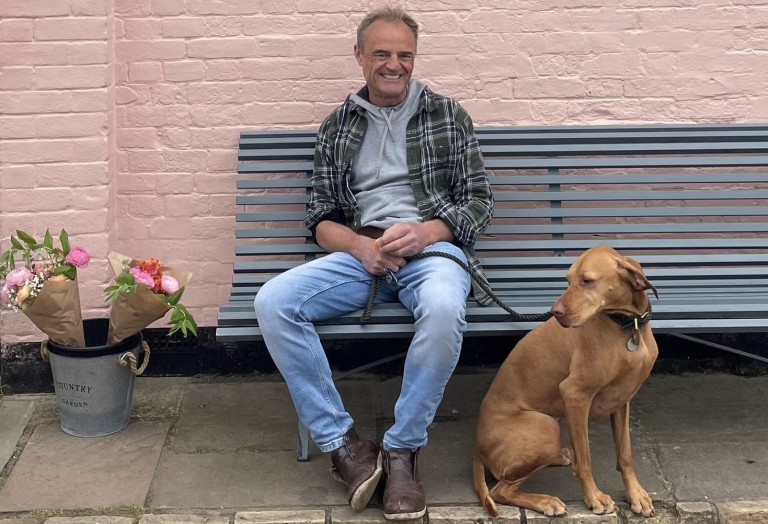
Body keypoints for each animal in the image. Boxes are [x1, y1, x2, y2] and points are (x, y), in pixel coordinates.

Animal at [473, 245, 658, 518]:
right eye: (568, 280)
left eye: (587, 281)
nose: (556, 312)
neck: (627, 325)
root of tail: (477, 447)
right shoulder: (575, 394)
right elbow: (586, 458)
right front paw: (594, 498)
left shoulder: (622, 400)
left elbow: (625, 454)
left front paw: (635, 494)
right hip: (546, 427)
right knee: (500, 491)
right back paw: (545, 501)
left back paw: (559, 457)